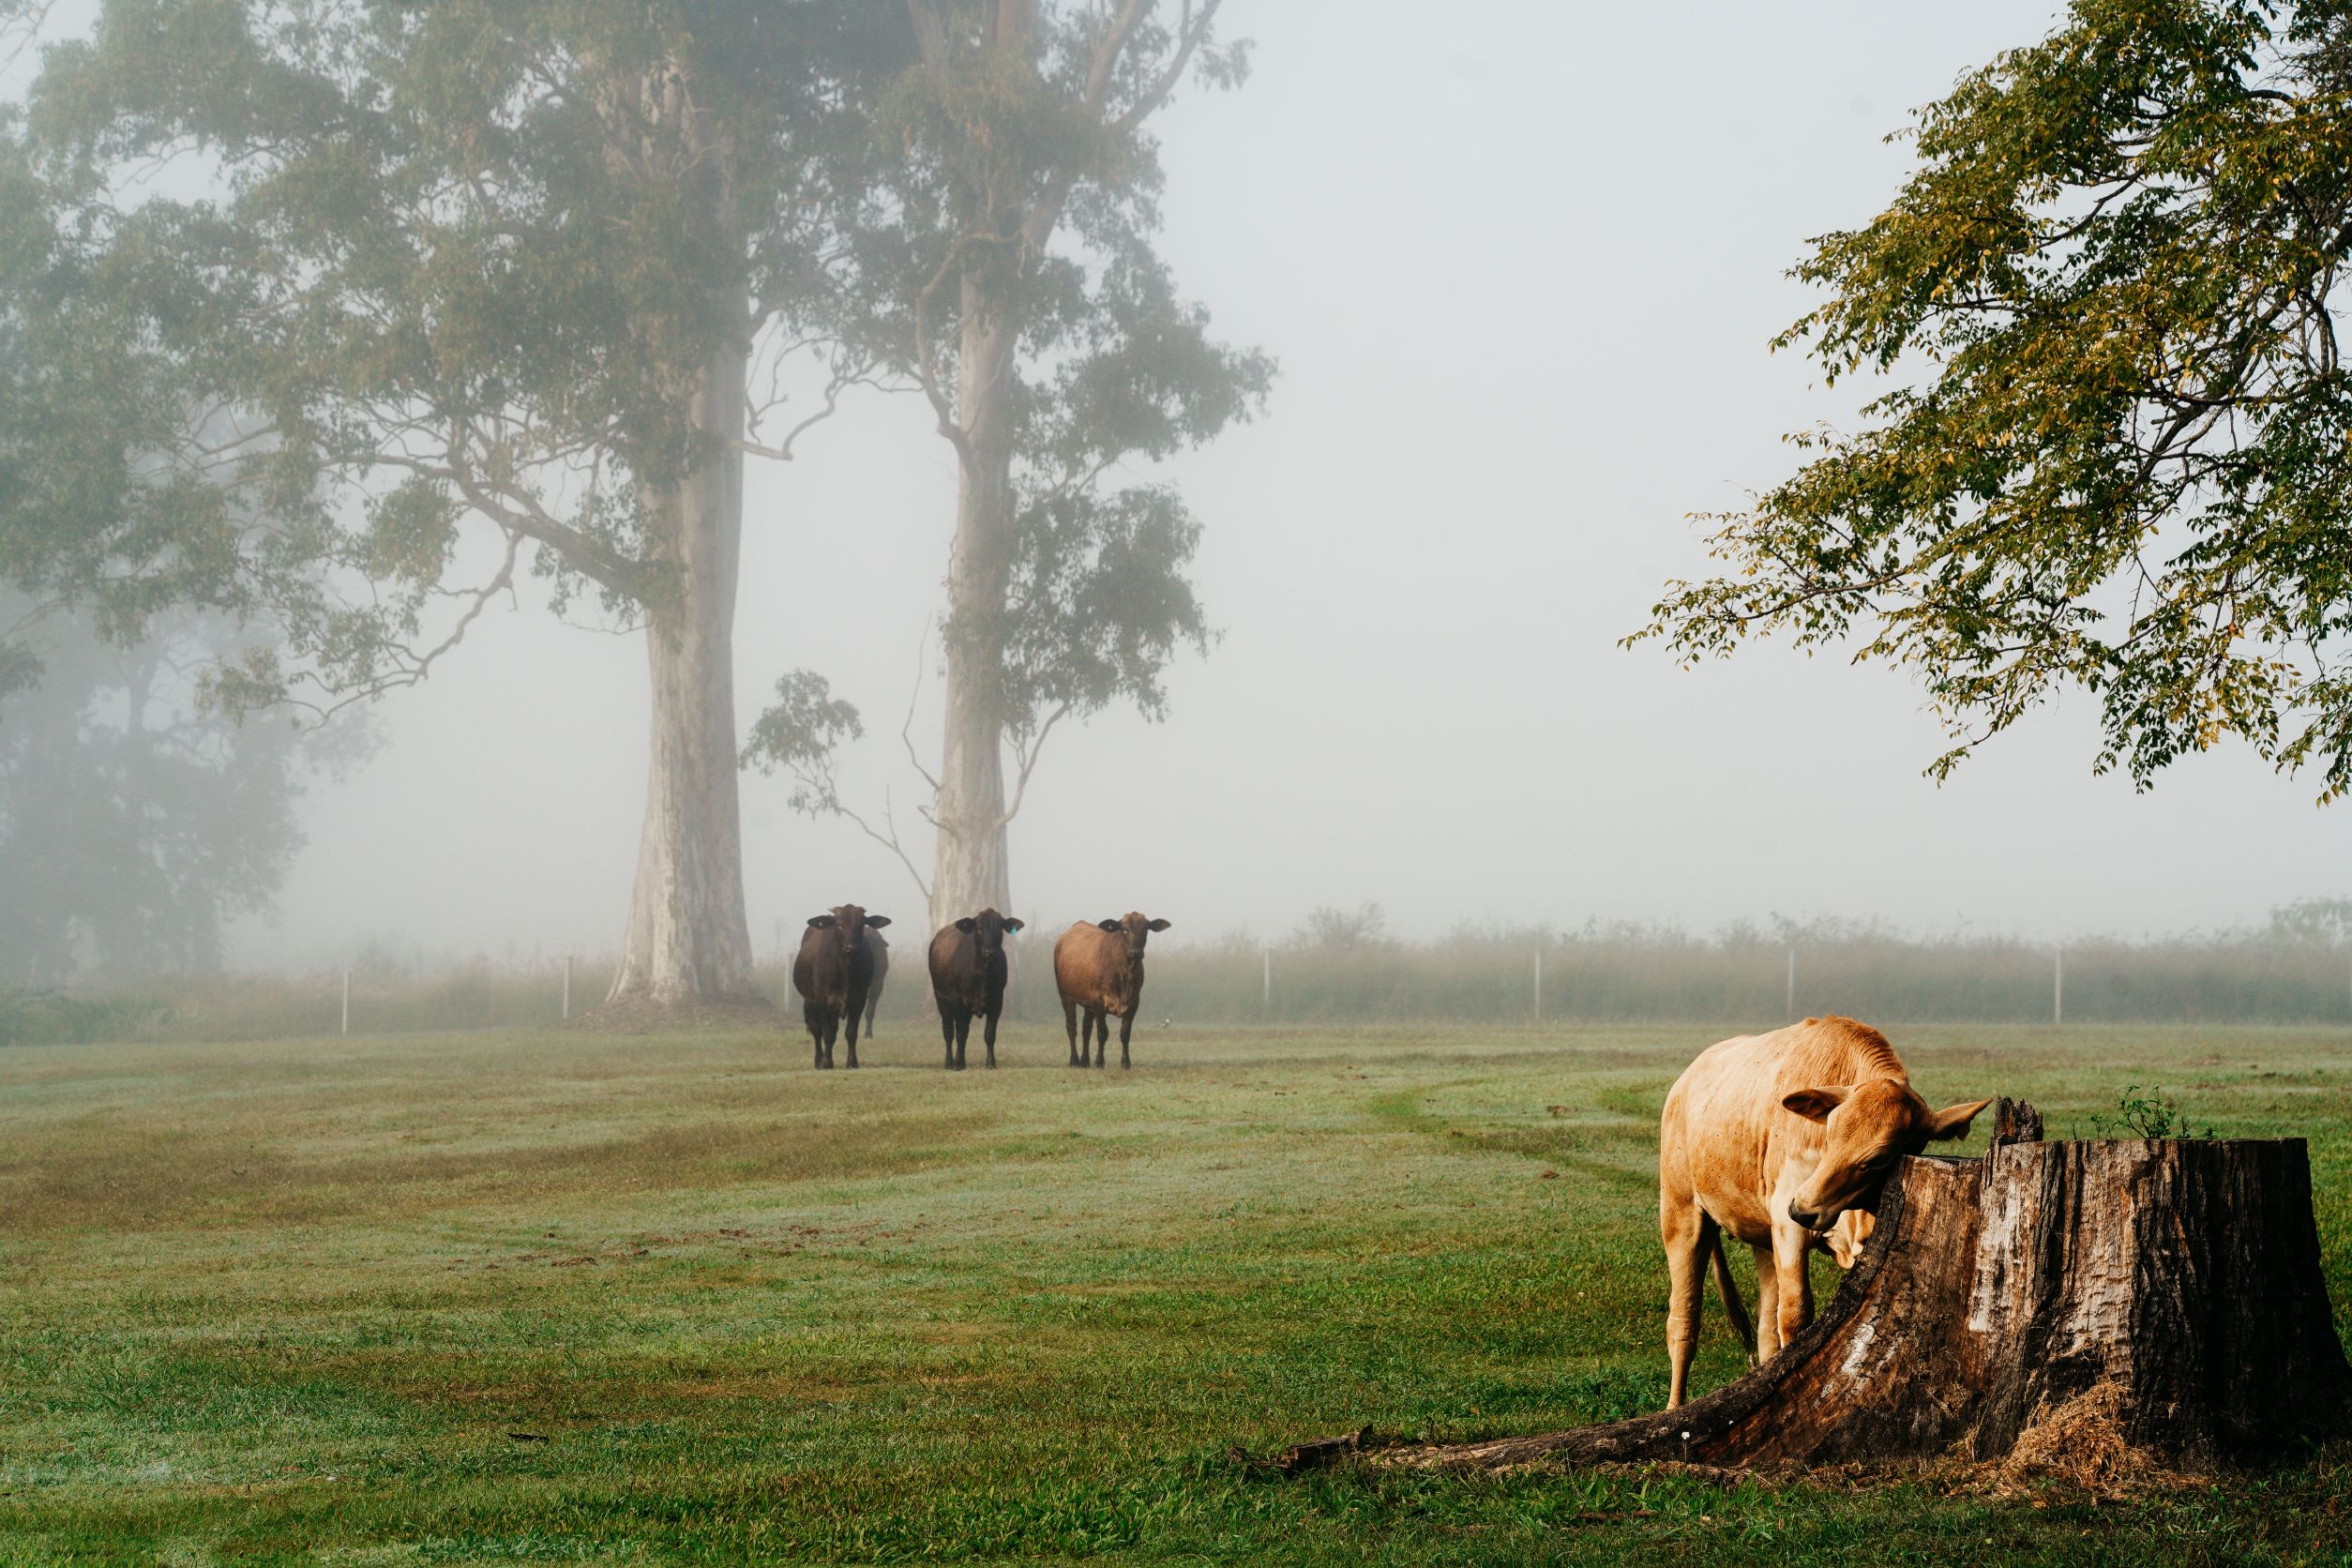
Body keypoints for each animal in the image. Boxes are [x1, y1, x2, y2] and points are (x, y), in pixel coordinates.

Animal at [791, 905, 890, 1070]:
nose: (851, 948)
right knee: (816, 1030)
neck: (845, 968)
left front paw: (852, 1062)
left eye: (861, 924)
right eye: (840, 925)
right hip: (810, 1001)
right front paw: (826, 1062)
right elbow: (827, 1033)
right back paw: (818, 1060)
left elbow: (851, 1032)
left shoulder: (860, 999)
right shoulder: (823, 1000)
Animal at [927, 908, 1023, 1069]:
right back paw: (950, 1062)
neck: (983, 971)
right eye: (979, 929)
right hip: (942, 999)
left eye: (999, 928)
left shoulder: (997, 1002)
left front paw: (990, 1063)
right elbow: (960, 1034)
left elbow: (989, 1034)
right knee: (949, 1032)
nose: (989, 952)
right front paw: (958, 1063)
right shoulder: (961, 1002)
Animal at [1053, 913, 1170, 1069]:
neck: (1124, 974)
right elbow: (1102, 1032)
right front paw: (1099, 1062)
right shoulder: (1098, 1002)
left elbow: (1125, 1033)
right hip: (1066, 996)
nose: (1136, 952)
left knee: (1086, 1029)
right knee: (1072, 1027)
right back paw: (1074, 1060)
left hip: (1087, 1003)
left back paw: (1085, 1061)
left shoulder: (1133, 1002)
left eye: (1145, 929)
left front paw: (1126, 1062)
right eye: (1124, 930)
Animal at [1656, 1015, 1989, 1408]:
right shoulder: (1789, 1221)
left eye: (1878, 1159)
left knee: (1766, 1327)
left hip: (1763, 1239)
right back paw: (1674, 1405)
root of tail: (1685, 1080)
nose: (1803, 1208)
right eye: (1828, 1136)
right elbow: (1796, 1315)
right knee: (1684, 1321)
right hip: (1682, 1215)